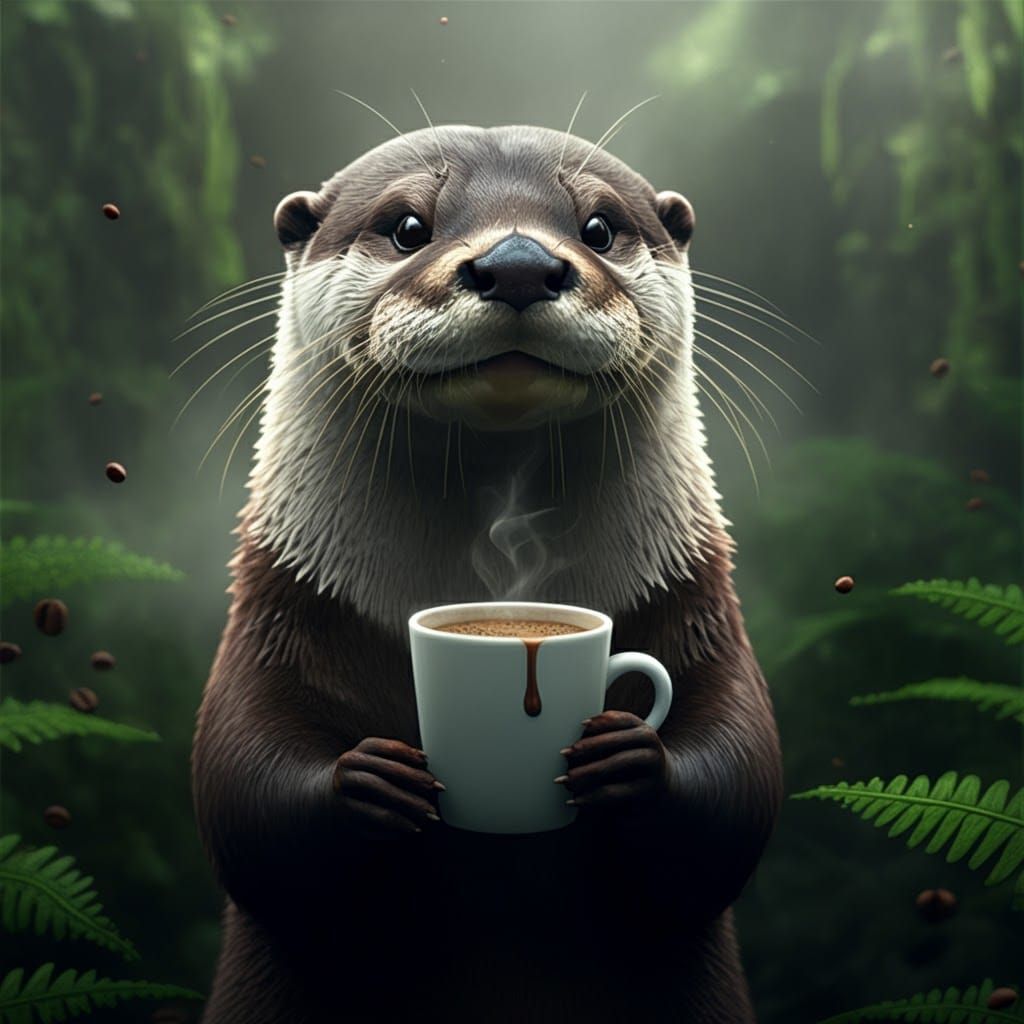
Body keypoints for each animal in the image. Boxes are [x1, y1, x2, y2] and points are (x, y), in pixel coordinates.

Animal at [191, 123, 783, 1023]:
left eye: (599, 227)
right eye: (407, 226)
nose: (517, 264)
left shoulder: (698, 608)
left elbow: (735, 790)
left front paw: (628, 758)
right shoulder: (277, 614)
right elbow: (244, 797)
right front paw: (371, 781)